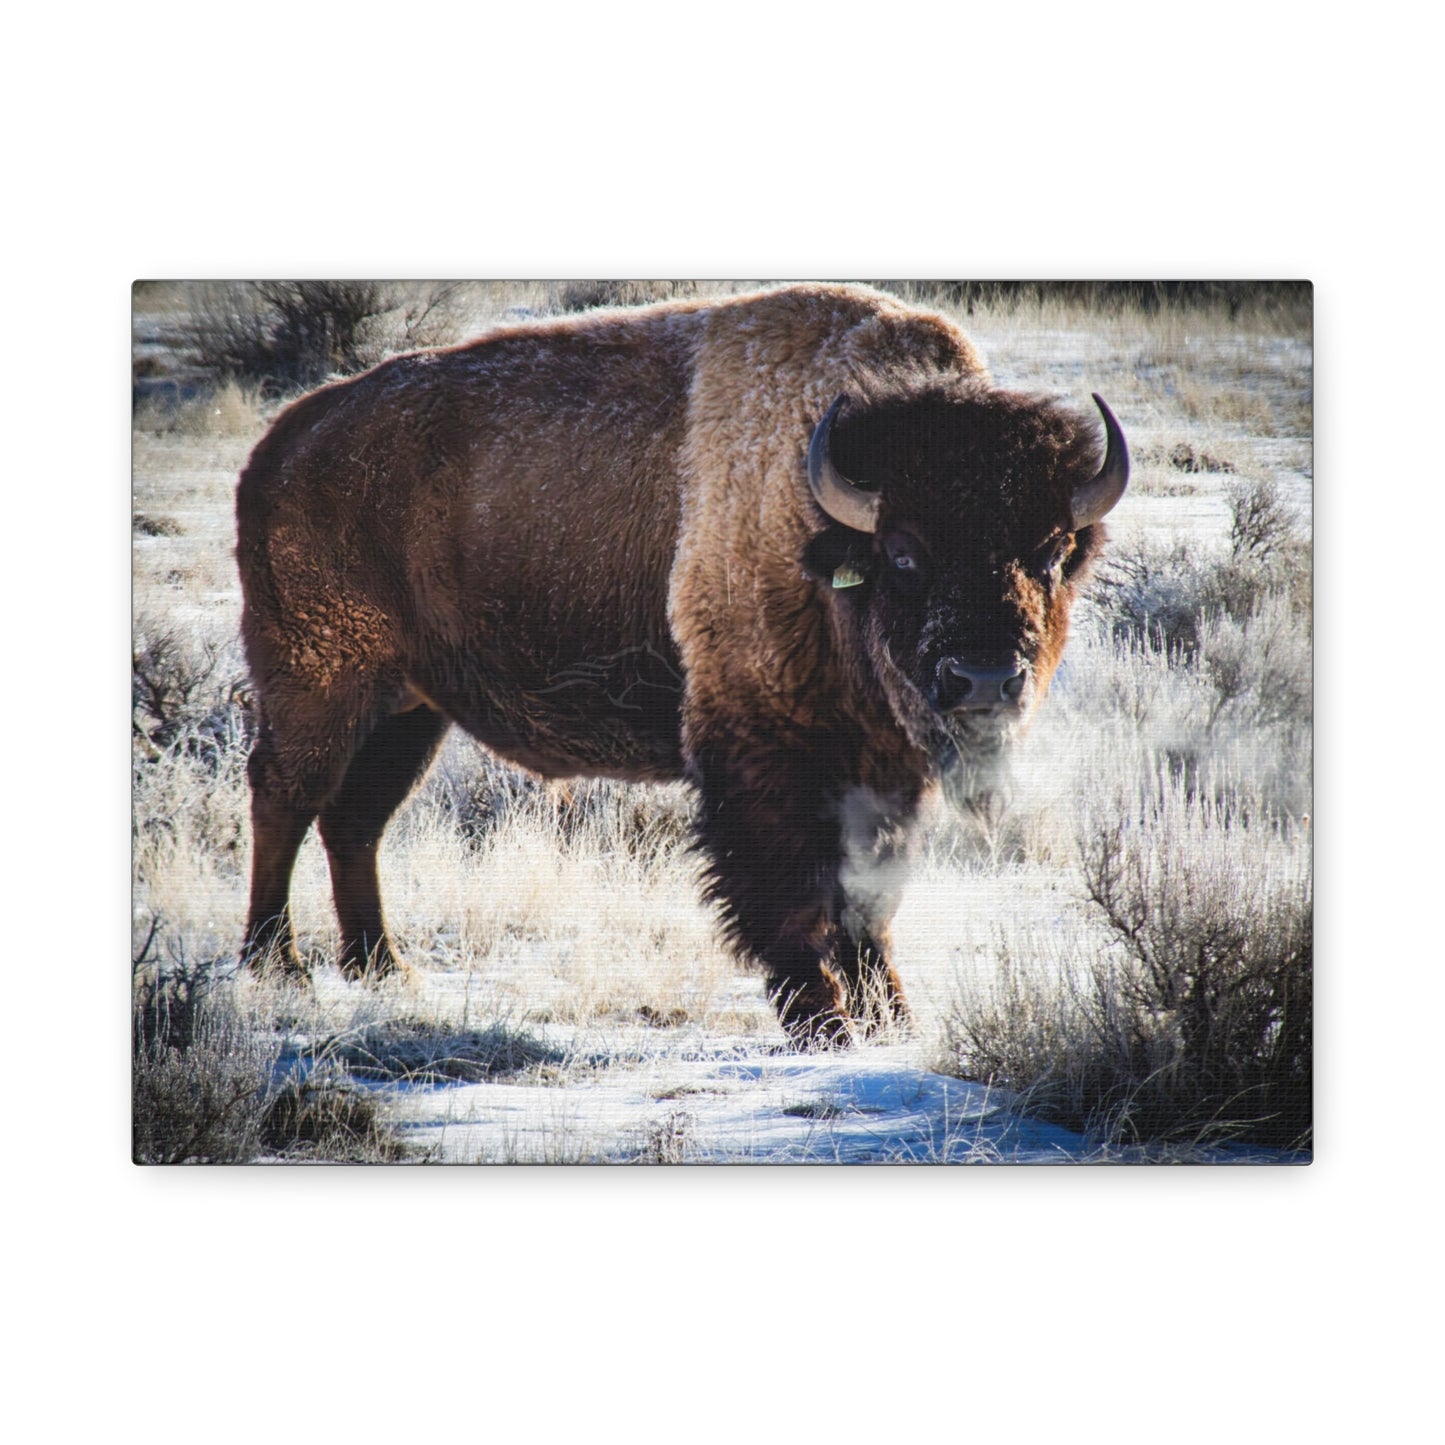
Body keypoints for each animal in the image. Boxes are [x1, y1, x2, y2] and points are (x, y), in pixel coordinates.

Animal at [236, 283, 1127, 1043]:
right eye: (904, 554)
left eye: (1050, 552)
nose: (982, 679)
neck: (820, 521)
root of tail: (284, 441)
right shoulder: (764, 752)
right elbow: (792, 894)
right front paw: (825, 1024)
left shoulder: (885, 769)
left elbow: (869, 899)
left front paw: (892, 1020)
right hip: (319, 683)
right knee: (287, 797)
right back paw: (278, 965)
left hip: (409, 710)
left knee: (355, 820)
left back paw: (383, 968)